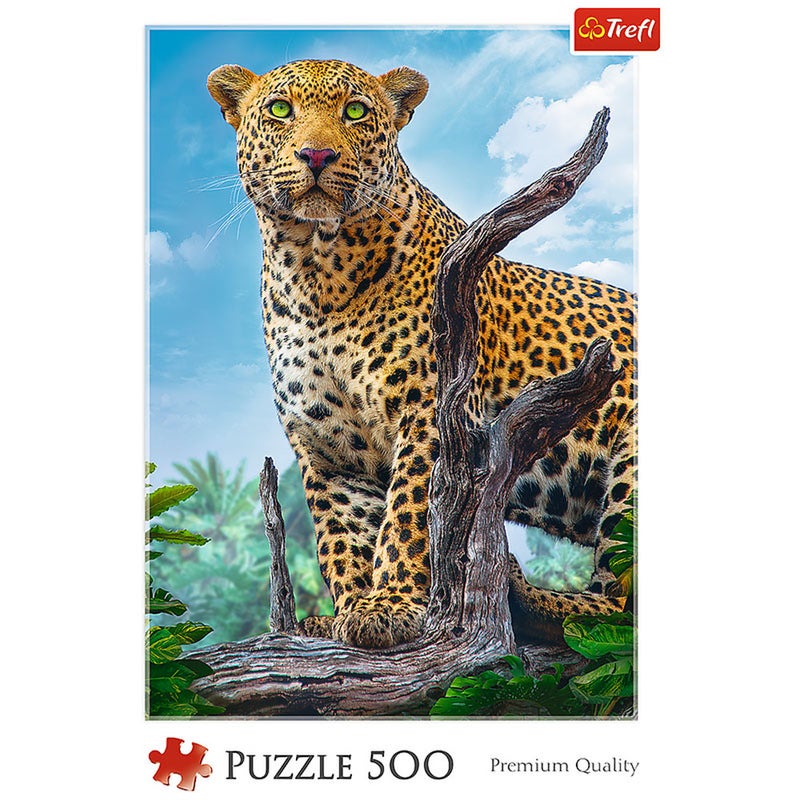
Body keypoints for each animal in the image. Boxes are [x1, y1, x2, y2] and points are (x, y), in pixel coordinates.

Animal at [207, 58, 637, 649]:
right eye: (279, 110)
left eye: (355, 111)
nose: (316, 155)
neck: (315, 270)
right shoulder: (326, 448)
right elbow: (342, 536)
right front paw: (347, 612)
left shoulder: (432, 413)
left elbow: (410, 514)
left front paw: (390, 604)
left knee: (618, 604)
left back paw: (524, 595)